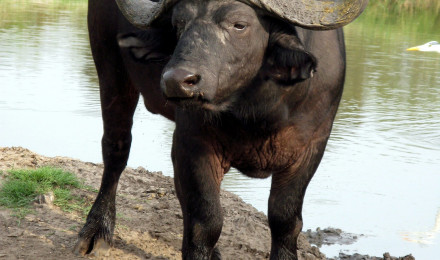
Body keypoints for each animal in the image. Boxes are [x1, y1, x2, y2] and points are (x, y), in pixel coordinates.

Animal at [73, 0, 368, 258]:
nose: (177, 80)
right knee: (116, 149)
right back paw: (96, 232)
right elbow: (206, 222)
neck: (258, 110)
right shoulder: (195, 143)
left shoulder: (311, 148)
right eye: (178, 24)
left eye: (239, 24)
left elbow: (285, 221)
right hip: (110, 70)